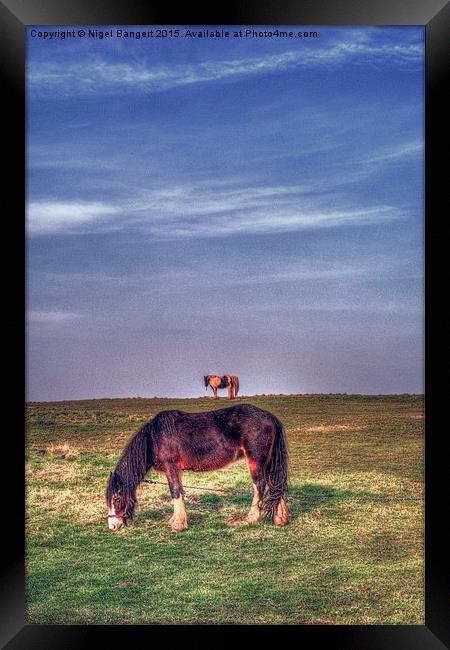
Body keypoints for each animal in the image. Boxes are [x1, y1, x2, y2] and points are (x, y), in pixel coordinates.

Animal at [106, 400, 288, 532]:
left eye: (116, 498)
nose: (113, 526)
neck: (154, 438)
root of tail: (270, 417)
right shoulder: (177, 470)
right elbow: (180, 491)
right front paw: (176, 520)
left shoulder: (170, 467)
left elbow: (175, 491)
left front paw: (178, 525)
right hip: (268, 462)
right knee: (275, 485)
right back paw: (280, 519)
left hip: (255, 461)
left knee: (260, 485)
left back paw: (251, 518)